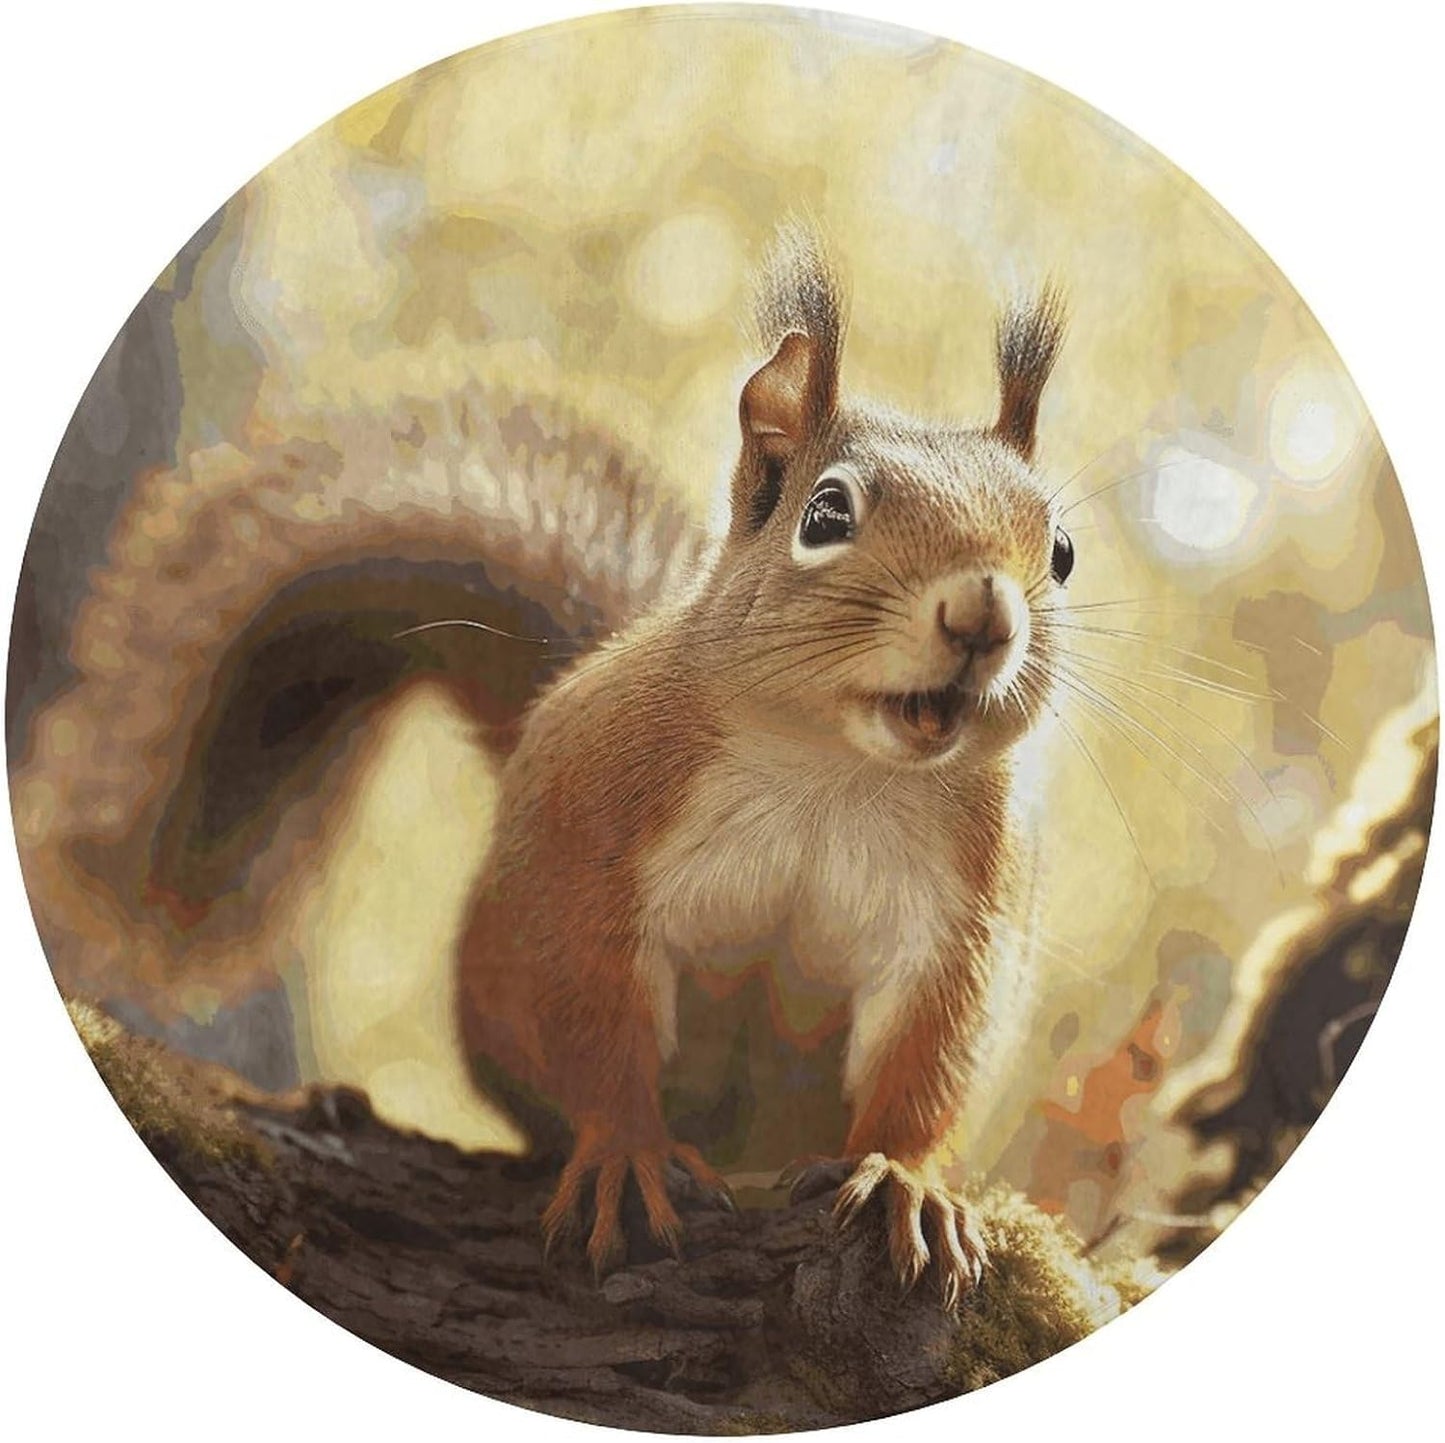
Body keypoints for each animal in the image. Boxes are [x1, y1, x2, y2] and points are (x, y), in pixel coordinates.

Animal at [11, 224, 1068, 1311]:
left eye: (1061, 550)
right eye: (825, 515)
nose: (982, 614)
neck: (829, 767)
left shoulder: (964, 904)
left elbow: (929, 1052)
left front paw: (903, 1177)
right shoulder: (592, 820)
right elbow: (595, 1011)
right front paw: (625, 1153)